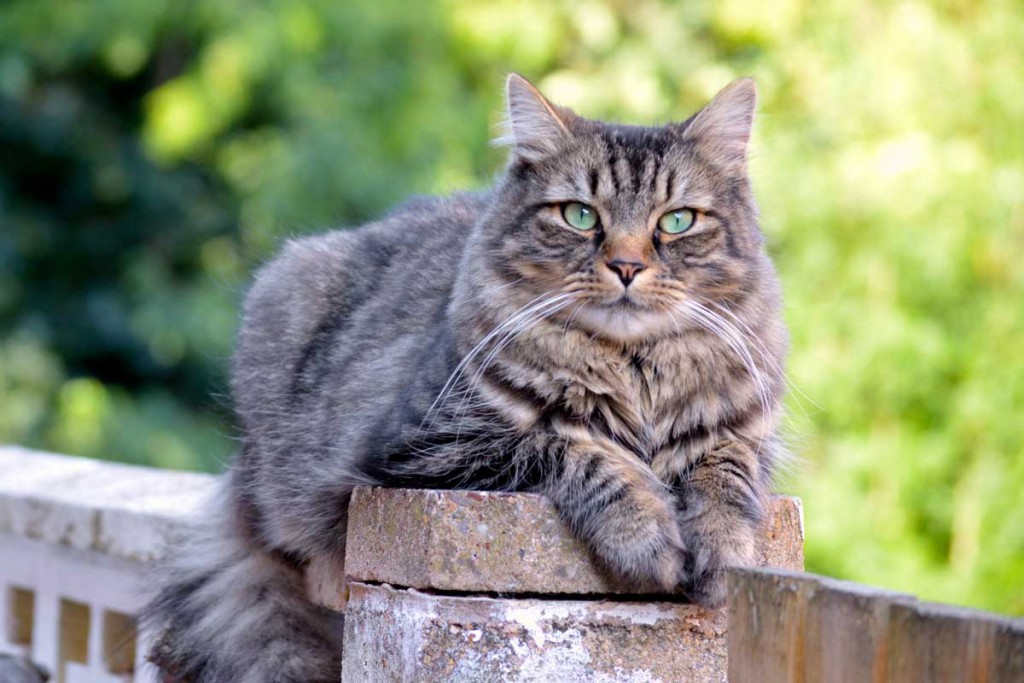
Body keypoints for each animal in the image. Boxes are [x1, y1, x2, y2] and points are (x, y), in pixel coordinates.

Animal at [144, 72, 786, 679]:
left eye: (676, 222)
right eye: (580, 215)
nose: (626, 266)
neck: (633, 375)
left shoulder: (742, 435)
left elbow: (725, 481)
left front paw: (723, 553)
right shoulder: (428, 445)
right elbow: (577, 450)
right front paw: (646, 536)